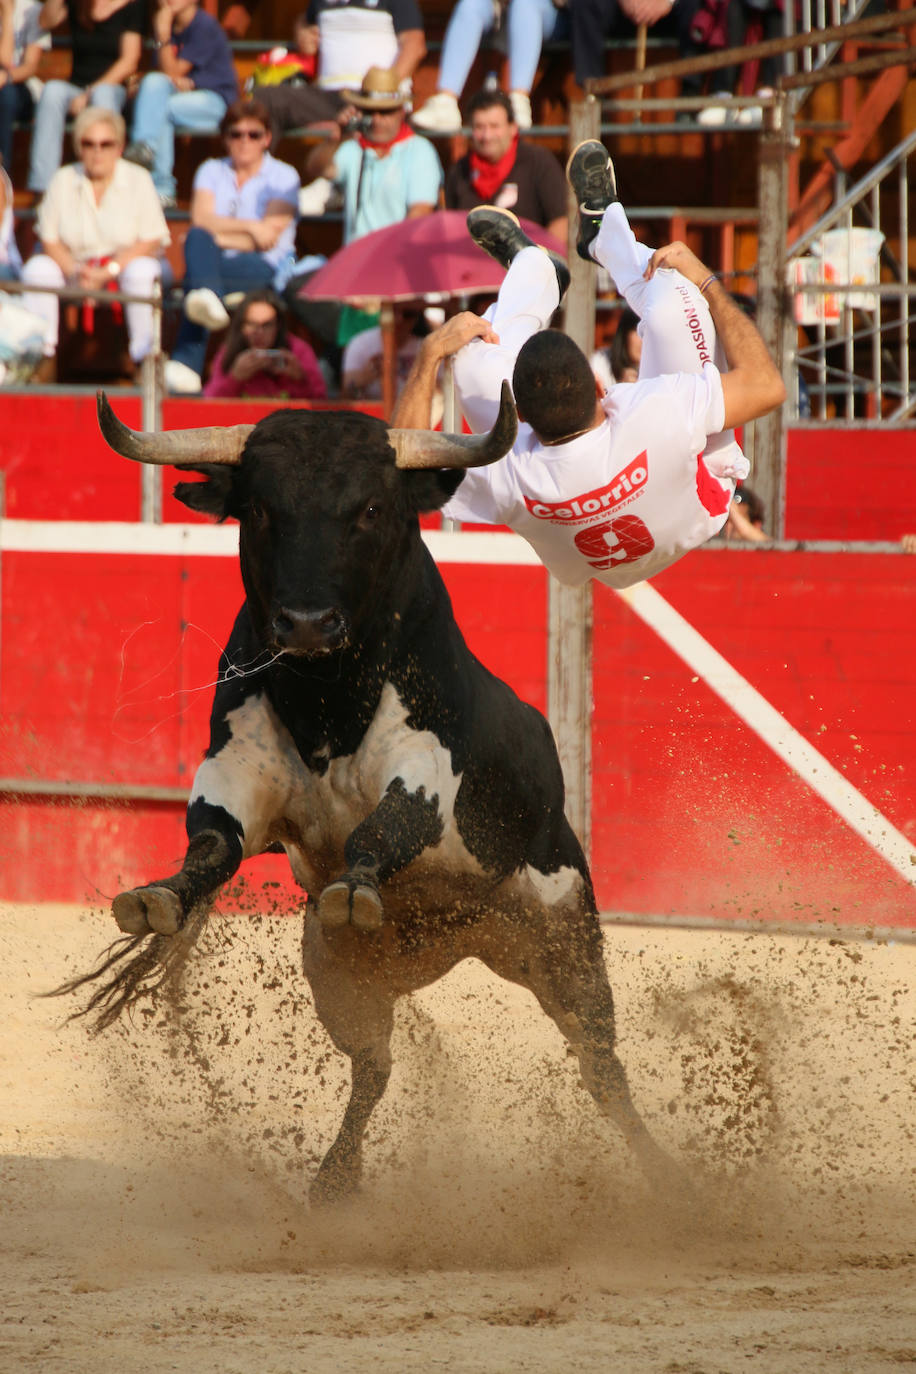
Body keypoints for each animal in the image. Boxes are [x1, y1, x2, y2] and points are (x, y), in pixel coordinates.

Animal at [66, 390, 672, 1203]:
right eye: (260, 508)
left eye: (372, 508)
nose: (306, 623)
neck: (326, 696)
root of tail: (460, 940)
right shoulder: (234, 771)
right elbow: (212, 845)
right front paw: (160, 897)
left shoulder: (424, 767)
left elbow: (379, 832)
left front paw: (354, 889)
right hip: (341, 977)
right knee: (374, 1067)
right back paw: (335, 1178)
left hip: (564, 936)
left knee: (602, 1067)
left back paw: (674, 1185)